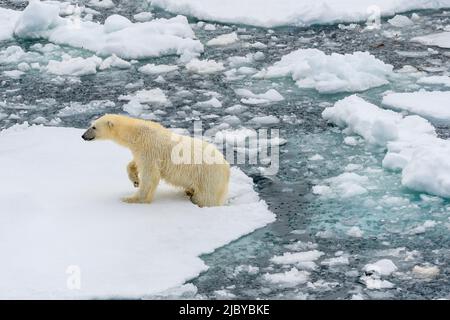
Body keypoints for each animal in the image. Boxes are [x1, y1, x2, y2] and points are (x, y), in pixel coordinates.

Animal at [81, 114, 229, 206]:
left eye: (94, 127)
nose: (83, 136)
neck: (137, 133)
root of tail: (226, 167)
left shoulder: (150, 148)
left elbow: (150, 175)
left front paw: (132, 199)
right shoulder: (141, 150)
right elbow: (135, 163)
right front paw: (135, 180)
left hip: (208, 177)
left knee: (205, 198)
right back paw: (188, 191)